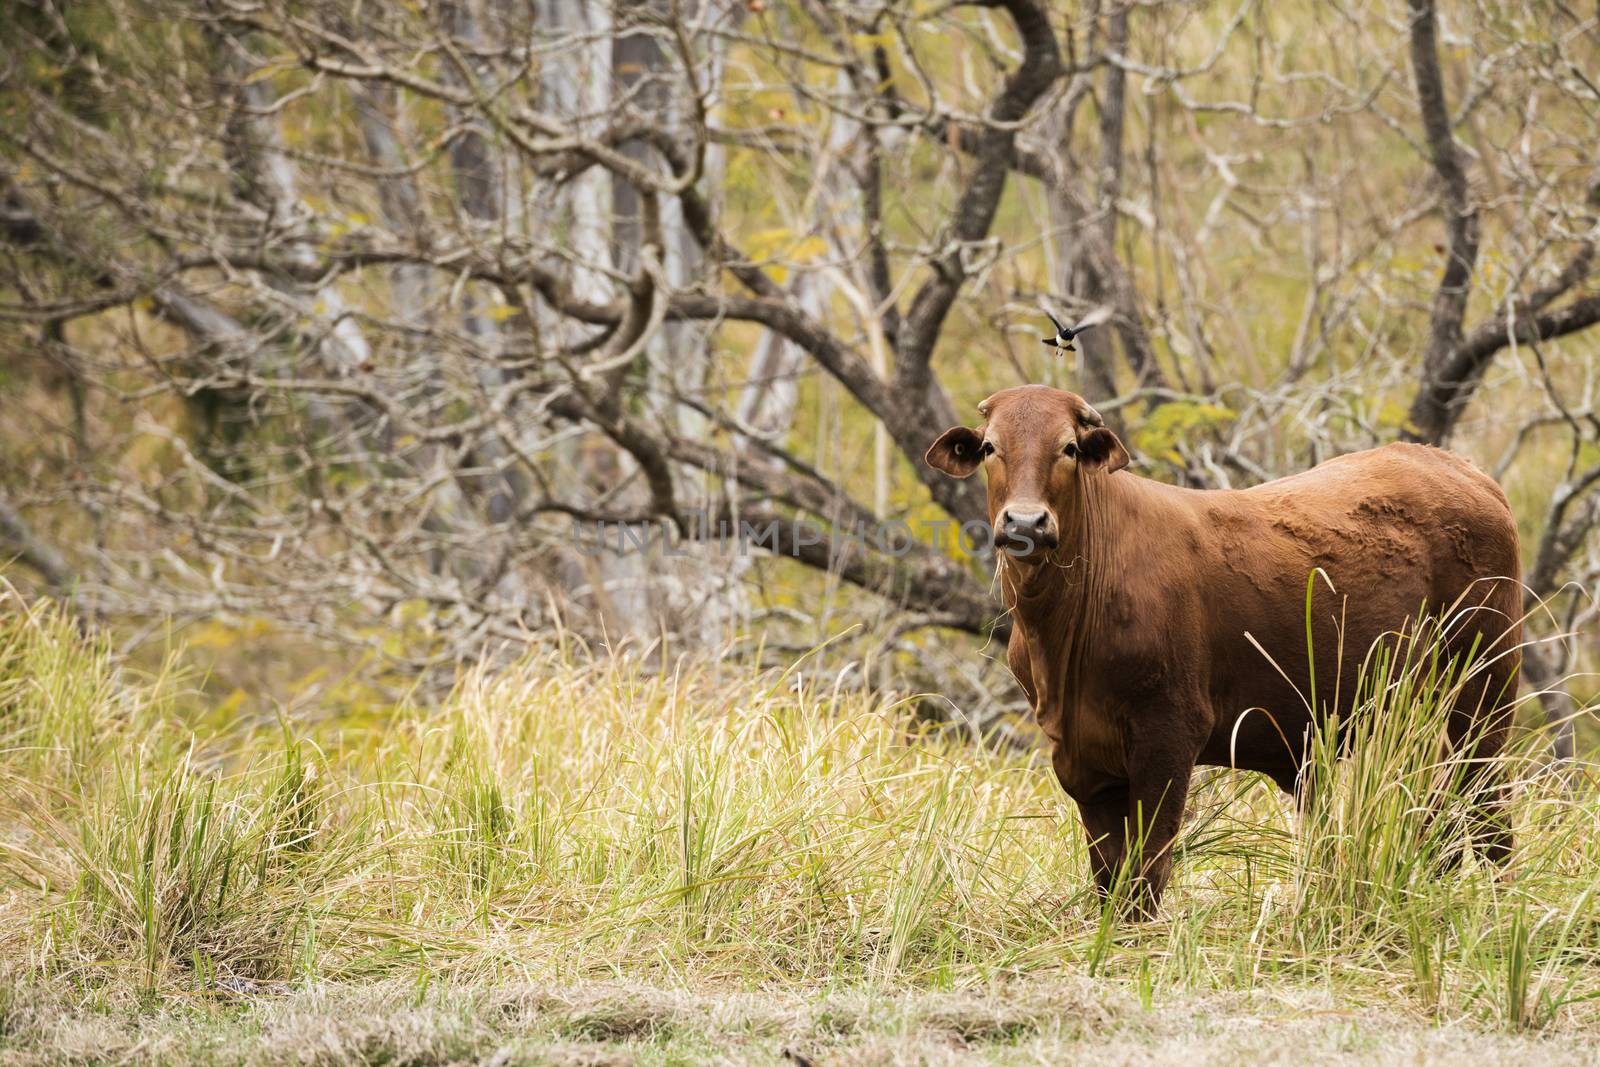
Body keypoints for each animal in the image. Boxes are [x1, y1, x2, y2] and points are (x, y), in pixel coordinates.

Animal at [928, 388, 1510, 915]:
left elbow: (1148, 865)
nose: (1025, 523)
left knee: (1488, 806)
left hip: (1483, 690)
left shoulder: (1170, 733)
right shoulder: (1079, 756)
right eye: (990, 447)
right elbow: (1110, 873)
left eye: (1068, 447)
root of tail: (1457, 467)